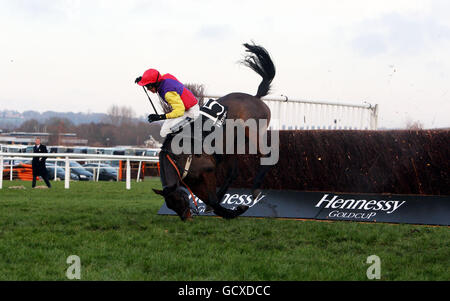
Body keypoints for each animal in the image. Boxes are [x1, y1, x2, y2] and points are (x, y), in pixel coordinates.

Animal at [154, 42, 274, 219]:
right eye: (170, 205)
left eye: (180, 199)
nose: (186, 217)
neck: (178, 157)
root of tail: (256, 97)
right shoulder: (194, 182)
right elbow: (211, 201)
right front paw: (228, 210)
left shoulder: (208, 171)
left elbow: (212, 200)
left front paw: (233, 210)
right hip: (233, 145)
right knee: (233, 173)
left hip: (253, 132)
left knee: (267, 155)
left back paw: (256, 189)